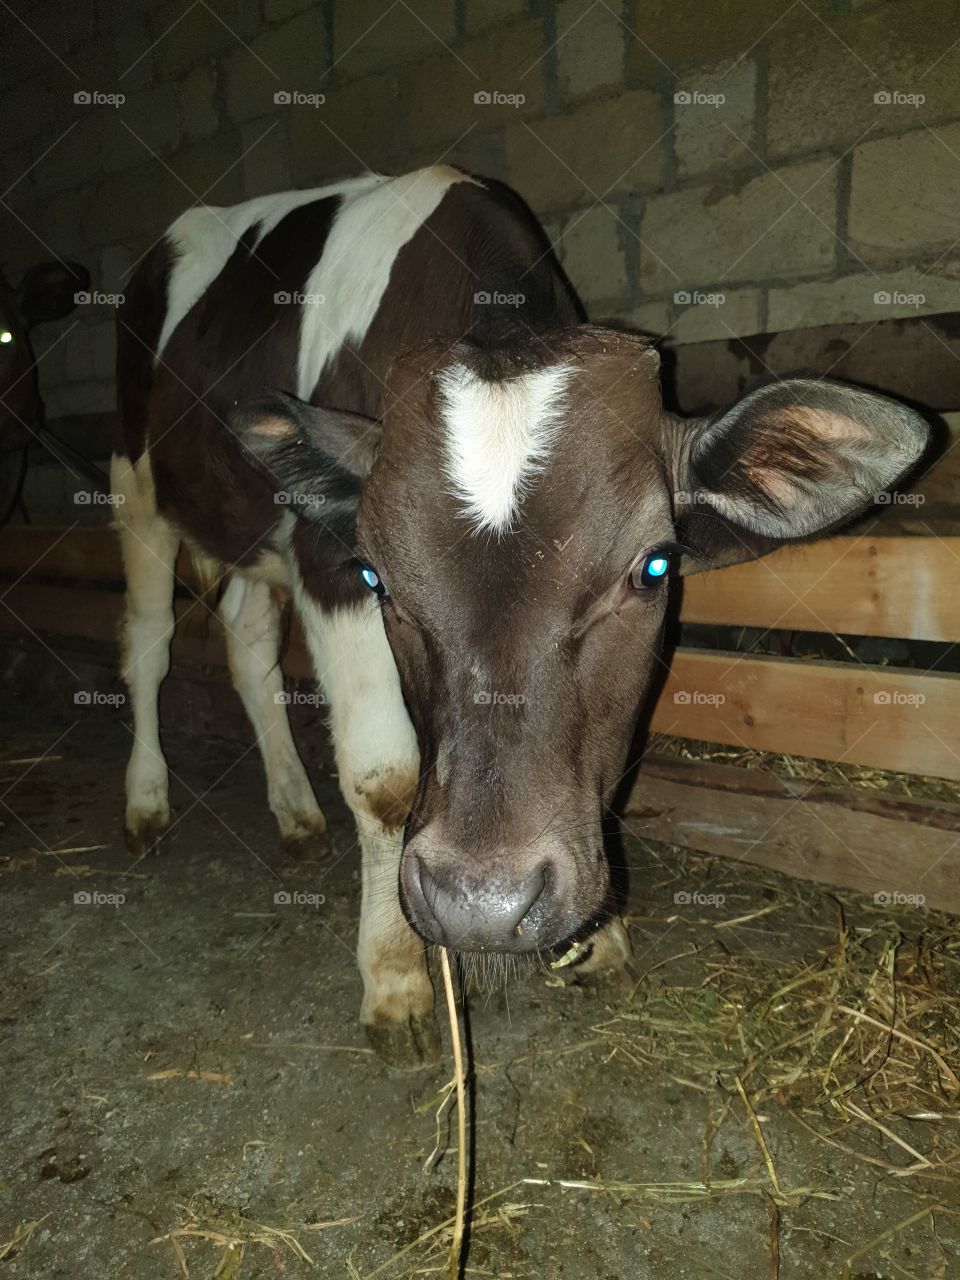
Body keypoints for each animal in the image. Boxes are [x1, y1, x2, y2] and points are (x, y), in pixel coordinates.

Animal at [112, 165, 929, 1066]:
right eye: (378, 576)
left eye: (654, 566)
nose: (482, 902)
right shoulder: (327, 567)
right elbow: (383, 781)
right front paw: (394, 980)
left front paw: (599, 941)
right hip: (135, 486)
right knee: (148, 644)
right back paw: (146, 801)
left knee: (248, 643)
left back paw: (293, 812)